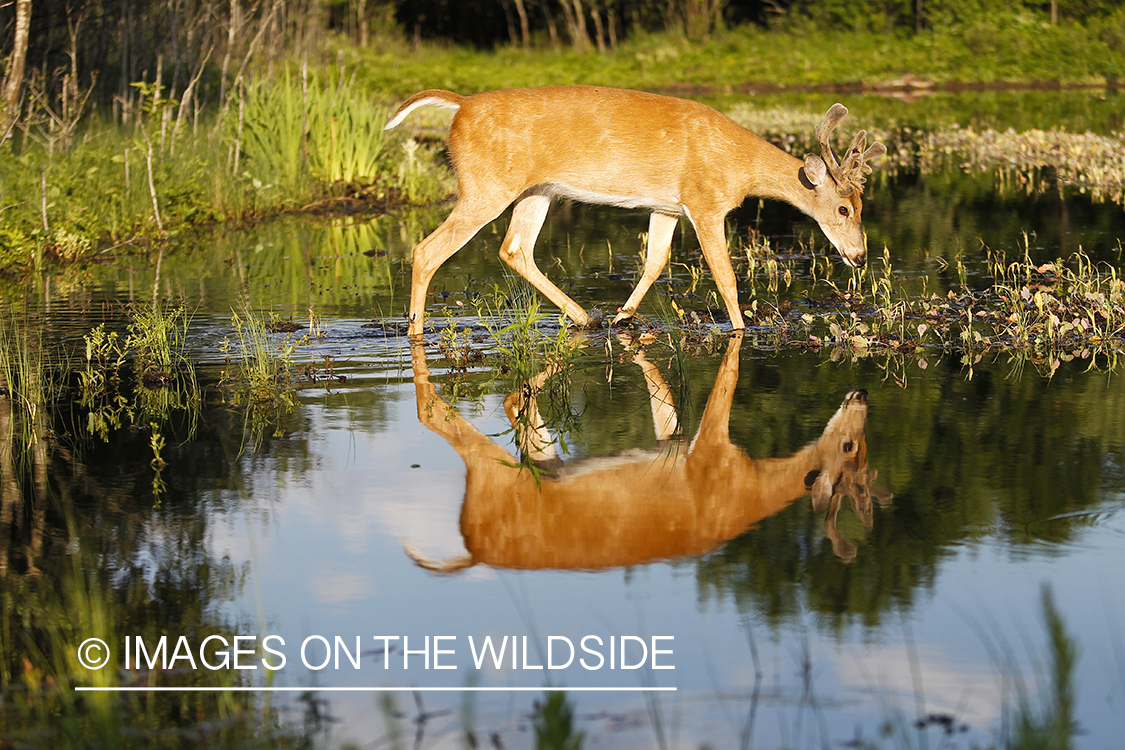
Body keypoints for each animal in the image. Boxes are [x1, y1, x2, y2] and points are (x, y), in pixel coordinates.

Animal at [387, 84, 886, 337]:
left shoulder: (667, 206)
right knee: (427, 250)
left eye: (863, 205)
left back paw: (588, 318)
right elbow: (724, 273)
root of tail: (460, 105)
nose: (860, 256)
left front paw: (623, 316)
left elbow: (655, 261)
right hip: (485, 186)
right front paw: (743, 329)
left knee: (514, 249)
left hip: (537, 189)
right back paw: (414, 332)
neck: (739, 166)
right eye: (844, 209)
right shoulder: (705, 202)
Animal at [400, 330, 891, 571]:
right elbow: (726, 382)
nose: (864, 392)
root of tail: (473, 550)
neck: (748, 482)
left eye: (866, 447)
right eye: (848, 446)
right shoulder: (709, 447)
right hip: (491, 472)